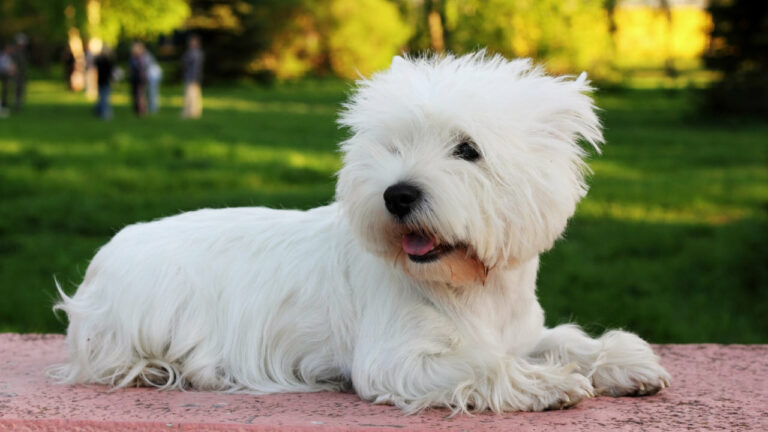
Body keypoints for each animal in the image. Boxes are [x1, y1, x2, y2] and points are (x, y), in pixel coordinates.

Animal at [54, 52, 668, 414]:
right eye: (391, 146)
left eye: (468, 149)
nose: (398, 195)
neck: (471, 286)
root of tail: (106, 252)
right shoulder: (396, 357)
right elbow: (482, 363)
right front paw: (549, 384)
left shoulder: (518, 329)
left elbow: (564, 339)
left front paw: (625, 363)